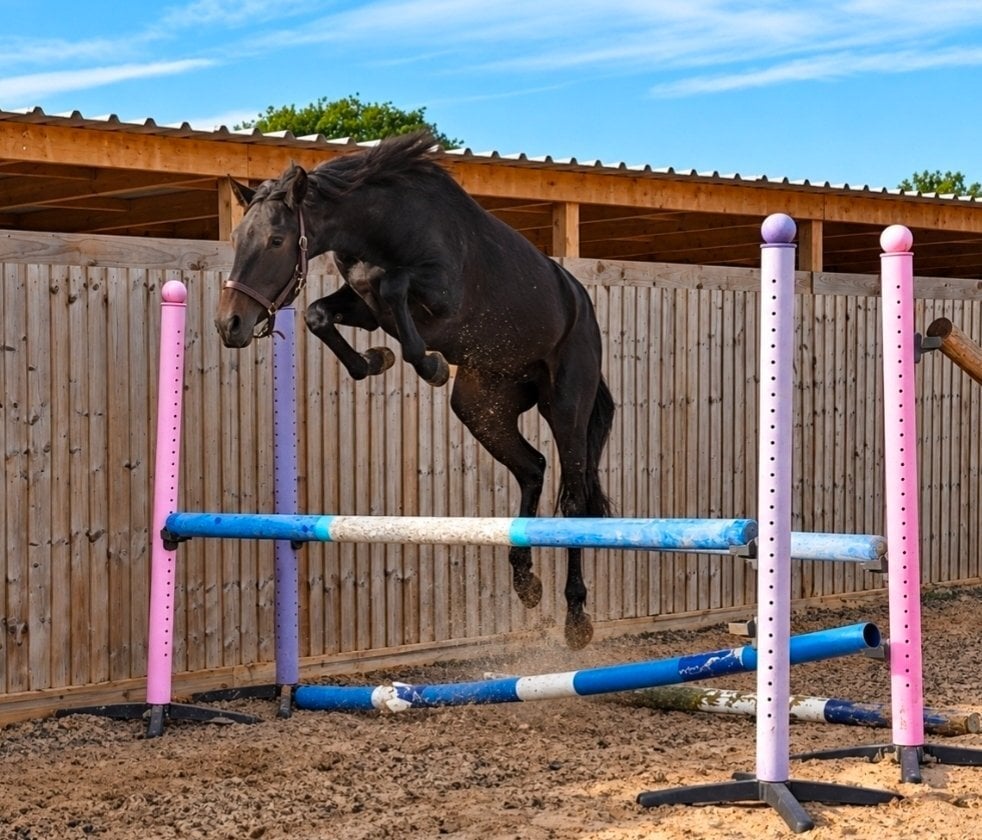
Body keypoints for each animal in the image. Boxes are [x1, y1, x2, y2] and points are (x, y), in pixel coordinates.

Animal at [215, 132, 614, 649]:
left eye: (276, 240)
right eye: (237, 239)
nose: (230, 325)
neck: (382, 224)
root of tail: (582, 305)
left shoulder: (439, 298)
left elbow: (394, 287)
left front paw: (430, 365)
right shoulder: (364, 307)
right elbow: (321, 314)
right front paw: (374, 361)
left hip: (565, 406)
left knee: (574, 500)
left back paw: (576, 618)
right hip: (480, 407)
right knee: (532, 468)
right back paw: (526, 582)